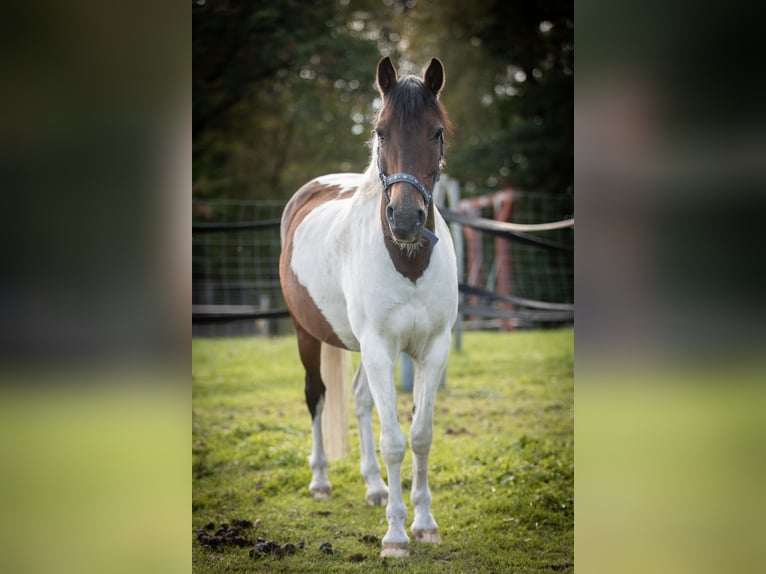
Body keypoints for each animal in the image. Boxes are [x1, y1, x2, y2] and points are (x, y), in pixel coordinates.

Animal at [279, 56, 458, 558]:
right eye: (380, 131)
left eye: (437, 132)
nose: (406, 219)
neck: (409, 260)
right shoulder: (380, 348)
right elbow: (393, 440)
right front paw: (395, 536)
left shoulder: (431, 350)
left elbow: (420, 436)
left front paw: (425, 524)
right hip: (307, 334)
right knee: (316, 396)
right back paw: (321, 481)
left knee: (359, 400)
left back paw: (375, 487)